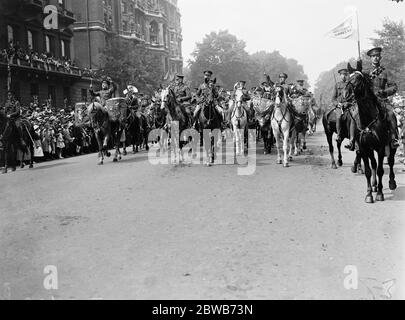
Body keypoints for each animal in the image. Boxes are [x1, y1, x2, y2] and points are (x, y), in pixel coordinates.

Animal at [346, 62, 396, 202]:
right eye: (348, 78)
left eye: (358, 78)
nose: (346, 94)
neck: (368, 119)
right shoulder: (364, 148)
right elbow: (369, 170)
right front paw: (369, 194)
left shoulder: (380, 148)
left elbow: (380, 170)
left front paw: (380, 193)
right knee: (373, 164)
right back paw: (374, 185)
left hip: (391, 146)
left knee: (390, 162)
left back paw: (391, 183)